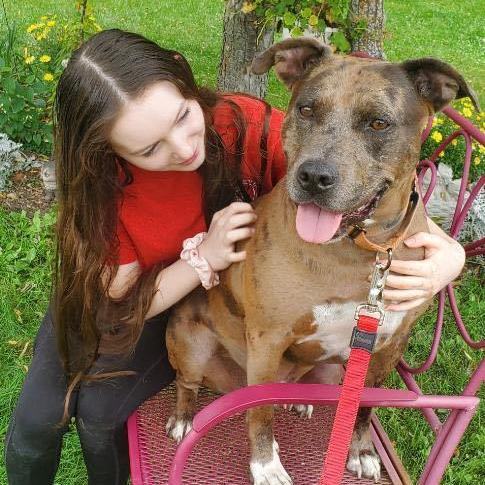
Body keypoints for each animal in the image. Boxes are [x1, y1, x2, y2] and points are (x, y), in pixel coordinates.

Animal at [165, 39, 476, 482]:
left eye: (378, 123)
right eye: (307, 109)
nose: (314, 176)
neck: (358, 253)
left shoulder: (388, 345)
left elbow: (364, 406)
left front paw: (361, 451)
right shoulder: (267, 338)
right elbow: (259, 412)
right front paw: (265, 465)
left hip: (331, 371)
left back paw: (301, 398)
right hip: (190, 343)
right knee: (188, 384)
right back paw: (184, 417)